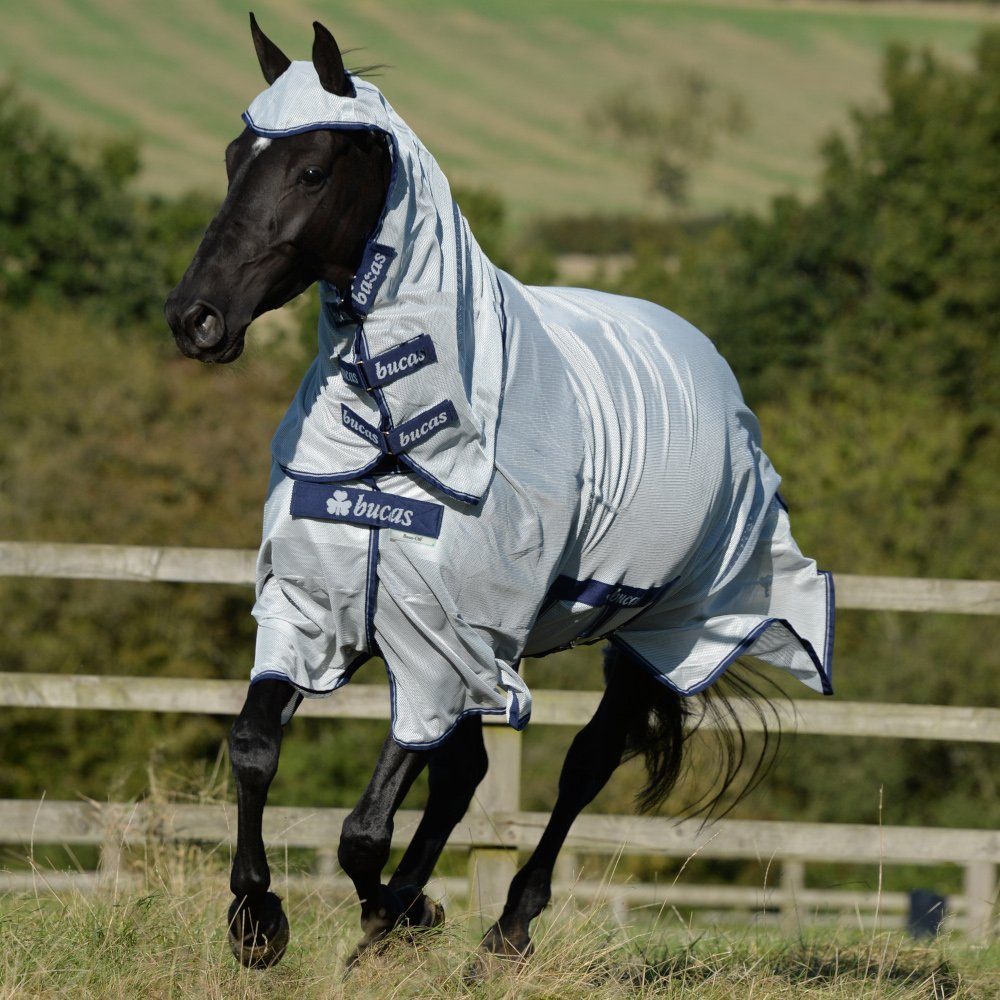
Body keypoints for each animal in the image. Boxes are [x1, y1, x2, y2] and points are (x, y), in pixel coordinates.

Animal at [164, 15, 834, 971]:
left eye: (311, 170)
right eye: (233, 156)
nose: (197, 318)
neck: (396, 439)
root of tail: (709, 363)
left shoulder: (443, 647)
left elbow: (363, 829)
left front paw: (397, 914)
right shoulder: (330, 611)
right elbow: (257, 748)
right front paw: (261, 918)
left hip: (646, 634)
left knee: (583, 764)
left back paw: (506, 925)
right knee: (465, 775)